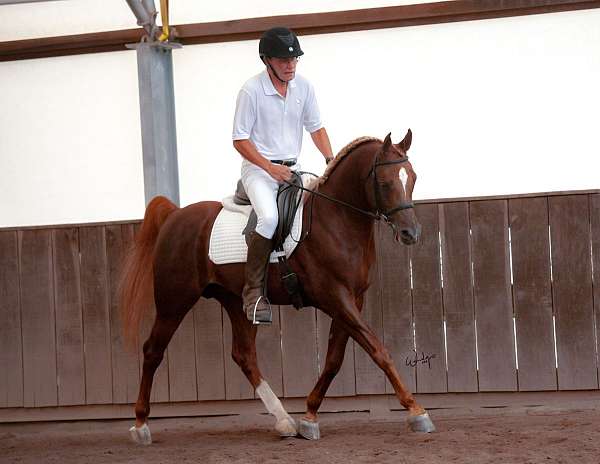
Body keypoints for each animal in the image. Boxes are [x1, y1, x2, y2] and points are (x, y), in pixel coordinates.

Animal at [122, 129, 434, 444]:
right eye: (384, 182)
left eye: (413, 177)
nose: (411, 233)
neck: (336, 219)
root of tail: (175, 215)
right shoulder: (336, 297)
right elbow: (378, 350)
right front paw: (416, 411)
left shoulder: (351, 300)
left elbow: (334, 359)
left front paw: (309, 416)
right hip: (174, 301)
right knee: (153, 351)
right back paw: (141, 424)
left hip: (238, 301)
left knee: (244, 355)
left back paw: (284, 421)